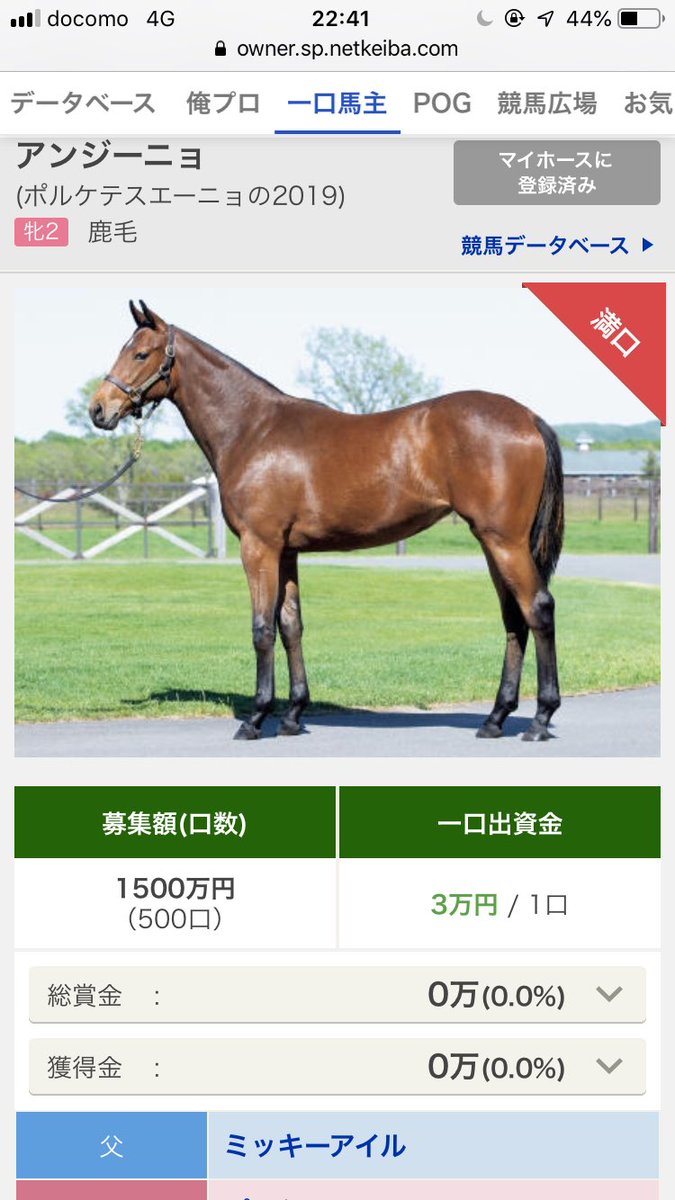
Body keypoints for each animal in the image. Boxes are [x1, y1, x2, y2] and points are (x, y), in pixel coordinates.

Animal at [90, 300, 564, 742]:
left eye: (141, 353)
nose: (99, 409)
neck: (253, 429)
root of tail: (527, 417)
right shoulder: (286, 552)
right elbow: (291, 626)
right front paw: (293, 715)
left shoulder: (258, 546)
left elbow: (262, 629)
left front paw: (256, 718)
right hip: (492, 542)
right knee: (513, 617)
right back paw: (495, 718)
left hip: (504, 541)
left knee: (538, 609)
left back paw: (540, 719)